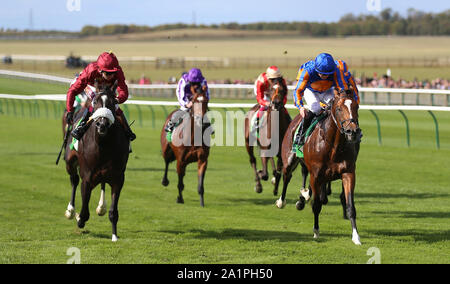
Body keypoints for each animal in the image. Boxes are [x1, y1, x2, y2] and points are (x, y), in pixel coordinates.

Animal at [62, 81, 128, 242]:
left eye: (113, 102)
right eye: (95, 101)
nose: (102, 125)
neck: (102, 146)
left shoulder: (118, 178)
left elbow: (113, 212)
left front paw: (114, 235)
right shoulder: (87, 178)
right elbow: (84, 212)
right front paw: (78, 217)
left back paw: (101, 207)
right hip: (69, 162)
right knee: (74, 180)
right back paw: (71, 210)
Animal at [278, 87, 362, 245]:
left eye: (356, 107)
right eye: (339, 108)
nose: (352, 131)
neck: (333, 146)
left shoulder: (348, 173)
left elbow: (350, 206)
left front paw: (356, 236)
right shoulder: (315, 176)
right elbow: (316, 205)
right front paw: (316, 231)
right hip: (289, 158)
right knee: (287, 176)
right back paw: (281, 201)